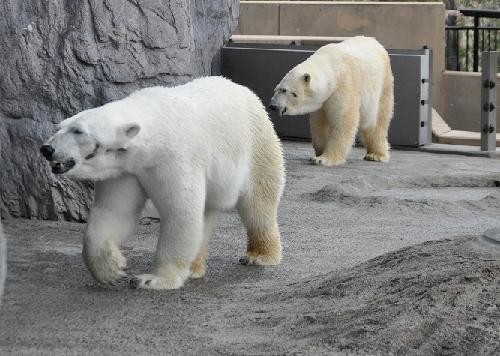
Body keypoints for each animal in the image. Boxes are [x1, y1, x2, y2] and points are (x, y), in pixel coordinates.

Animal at [39, 77, 286, 290]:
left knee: (258, 204)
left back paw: (259, 255)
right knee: (206, 215)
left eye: (78, 131)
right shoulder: (126, 170)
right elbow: (115, 212)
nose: (46, 149)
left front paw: (152, 279)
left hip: (257, 148)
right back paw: (194, 268)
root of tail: (246, 91)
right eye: (60, 126)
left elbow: (180, 212)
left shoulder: (173, 158)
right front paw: (111, 269)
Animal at [270, 35, 394, 166]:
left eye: (285, 90)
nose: (273, 106)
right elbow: (319, 123)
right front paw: (319, 152)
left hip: (382, 86)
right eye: (277, 89)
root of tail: (375, 42)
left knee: (377, 123)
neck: (331, 67)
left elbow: (344, 120)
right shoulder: (323, 100)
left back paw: (376, 155)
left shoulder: (344, 85)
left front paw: (323, 159)